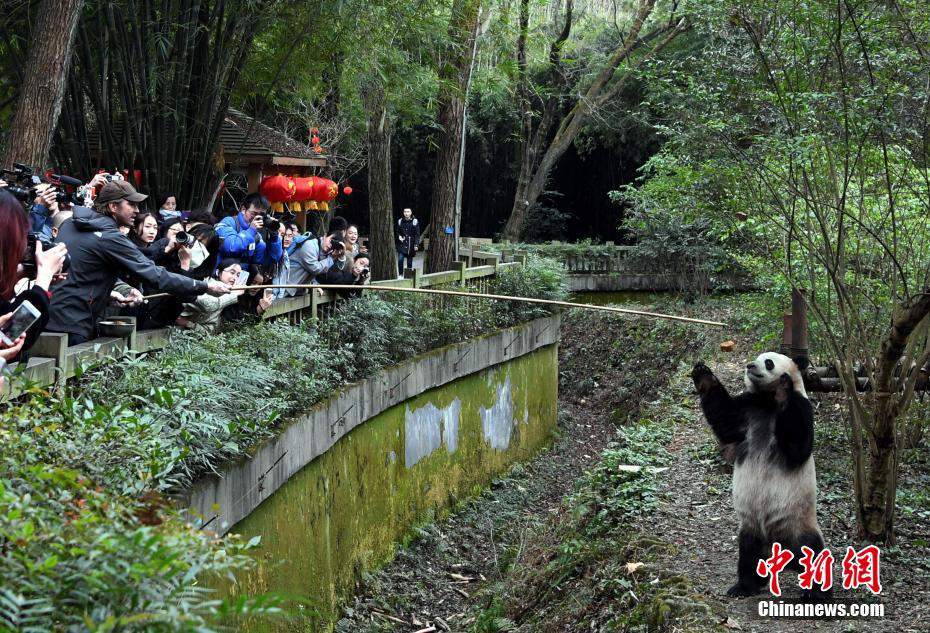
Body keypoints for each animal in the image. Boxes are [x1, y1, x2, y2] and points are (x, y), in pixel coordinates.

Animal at [690, 352, 829, 599]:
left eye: (769, 362)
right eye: (756, 357)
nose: (750, 365)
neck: (767, 401)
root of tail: (781, 551)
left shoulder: (802, 407)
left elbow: (799, 447)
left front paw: (784, 387)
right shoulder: (748, 408)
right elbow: (726, 421)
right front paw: (703, 374)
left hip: (799, 523)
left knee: (813, 554)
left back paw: (818, 597)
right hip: (752, 526)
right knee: (749, 553)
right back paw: (745, 585)